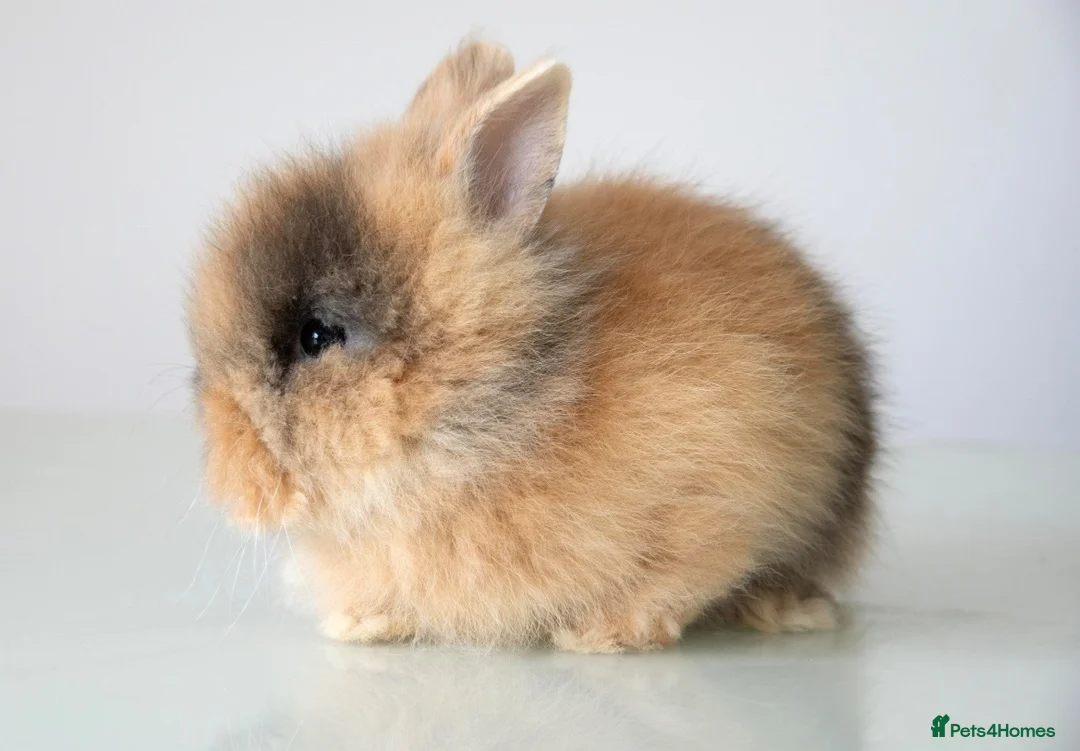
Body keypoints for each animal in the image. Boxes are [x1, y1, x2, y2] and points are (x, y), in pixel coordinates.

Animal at [187, 39, 877, 652]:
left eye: (316, 336)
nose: (233, 493)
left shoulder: (716, 501)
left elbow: (676, 581)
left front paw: (599, 635)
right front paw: (358, 624)